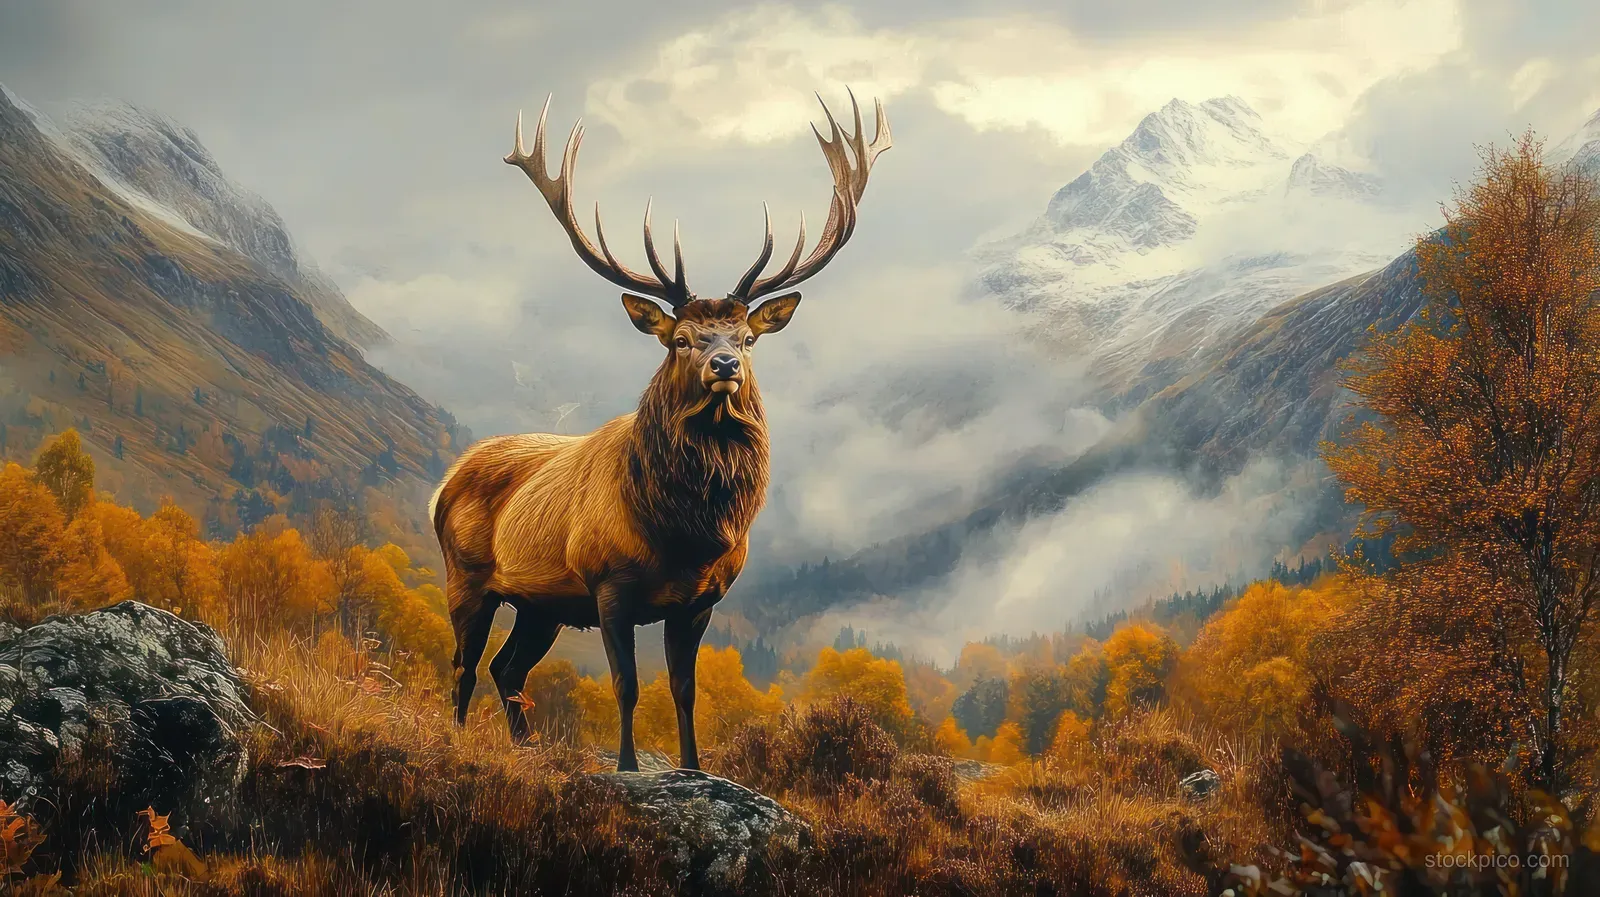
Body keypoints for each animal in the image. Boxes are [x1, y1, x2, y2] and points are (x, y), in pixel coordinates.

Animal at [430, 91, 890, 772]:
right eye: (681, 339)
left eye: (746, 338)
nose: (723, 365)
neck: (684, 534)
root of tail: (445, 481)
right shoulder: (609, 585)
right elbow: (626, 684)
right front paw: (625, 767)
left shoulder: (700, 601)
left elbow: (683, 688)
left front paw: (694, 767)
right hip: (468, 575)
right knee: (464, 663)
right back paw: (459, 740)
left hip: (541, 603)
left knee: (507, 669)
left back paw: (527, 748)